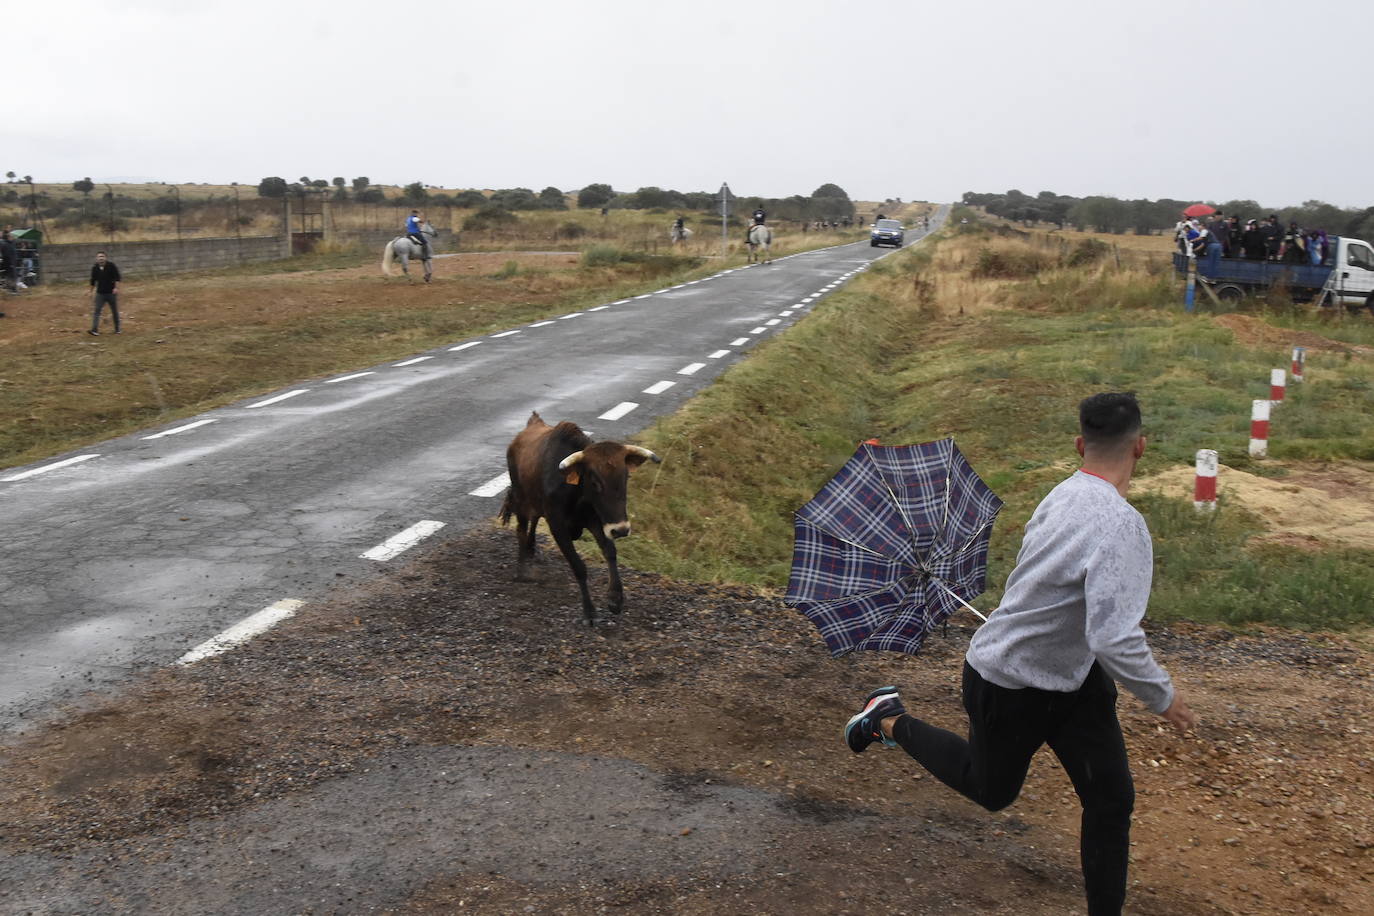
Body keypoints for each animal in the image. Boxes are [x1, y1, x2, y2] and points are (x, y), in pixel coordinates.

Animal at [500, 414, 659, 623]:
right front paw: (589, 611)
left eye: (625, 478)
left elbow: (610, 552)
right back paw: (522, 571)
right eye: (595, 482)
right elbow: (578, 566)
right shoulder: (557, 525)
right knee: (521, 529)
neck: (574, 491)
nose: (622, 530)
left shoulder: (597, 520)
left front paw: (615, 599)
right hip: (521, 499)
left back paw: (531, 549)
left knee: (533, 521)